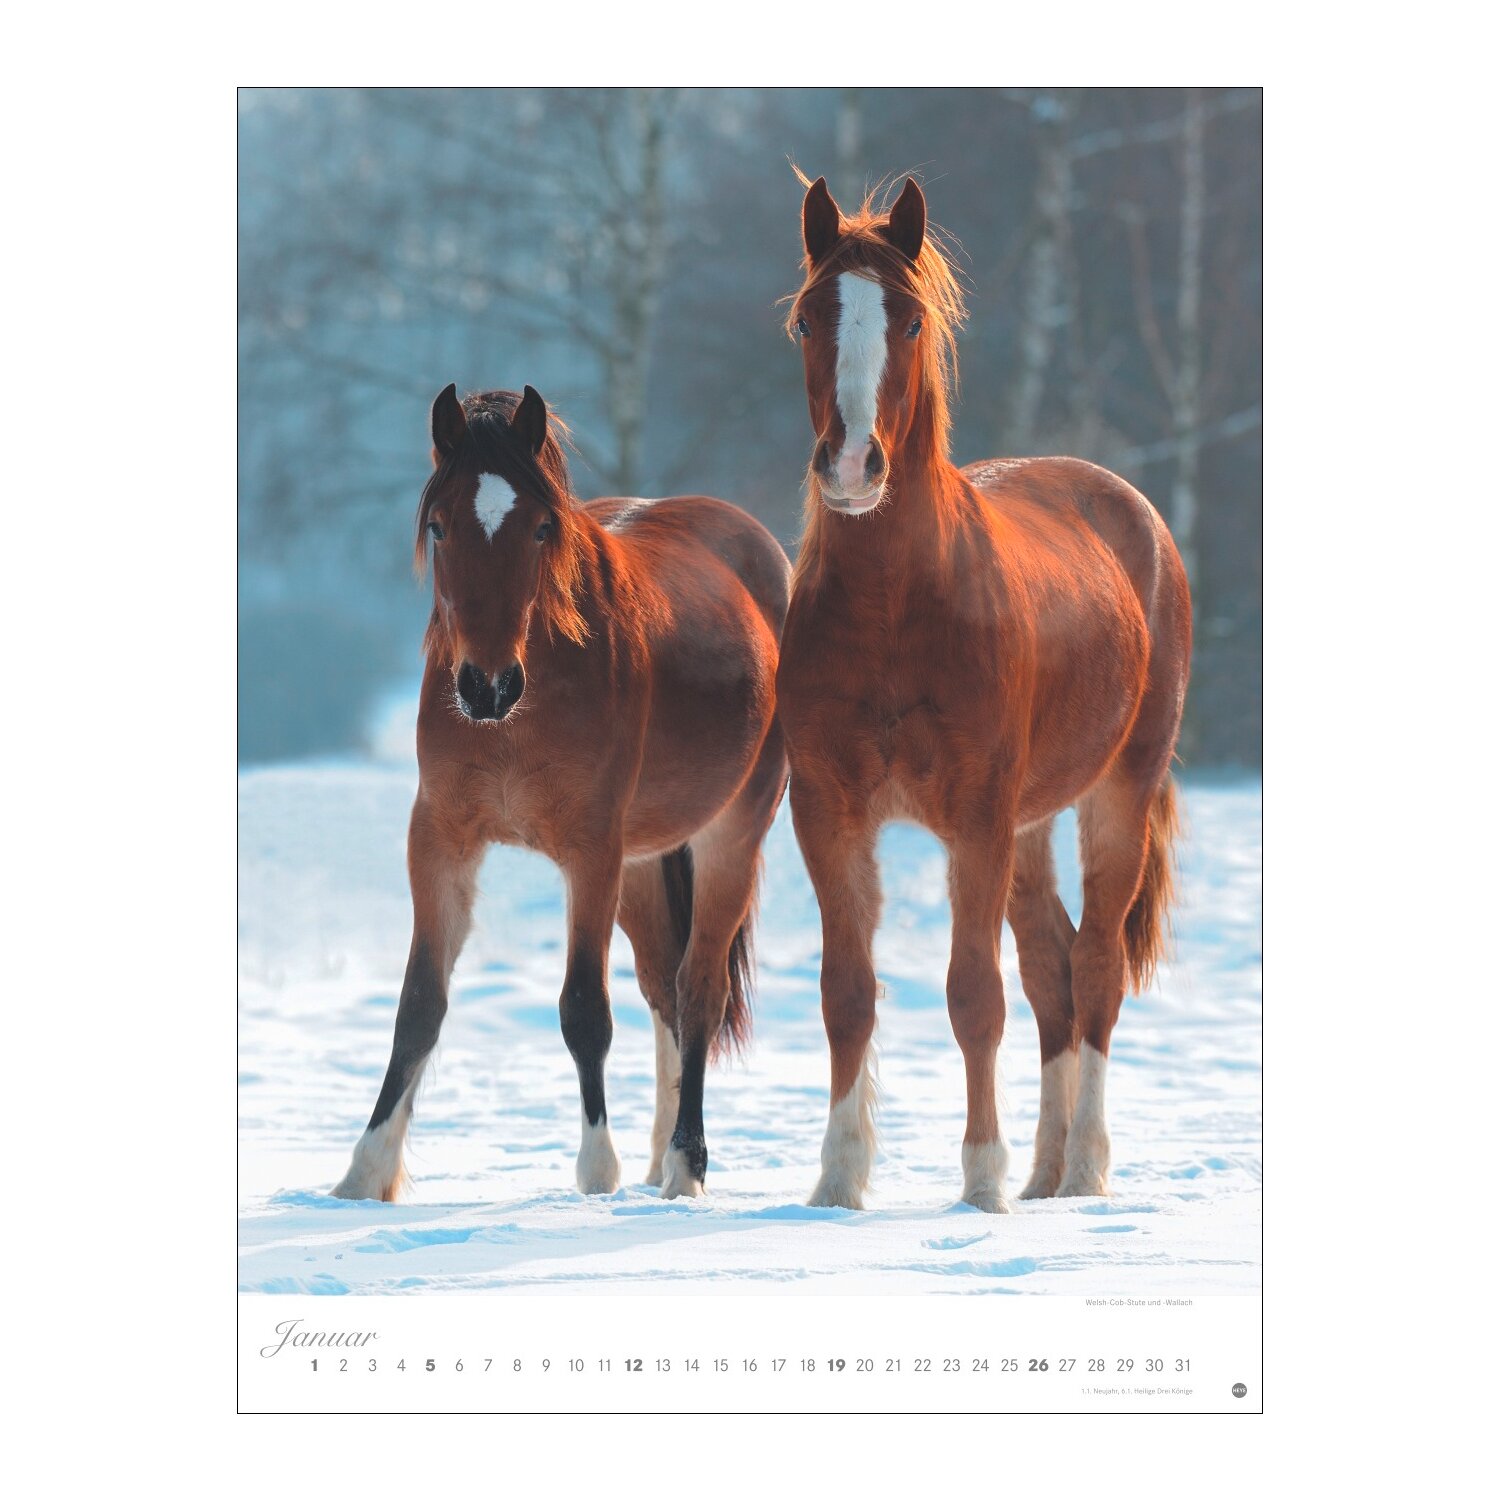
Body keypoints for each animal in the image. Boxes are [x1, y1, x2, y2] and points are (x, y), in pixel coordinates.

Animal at [333, 385, 790, 1203]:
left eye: (543, 527)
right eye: (439, 525)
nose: (484, 686)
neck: (522, 711)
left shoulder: (591, 854)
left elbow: (584, 1010)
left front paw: (596, 1169)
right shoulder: (440, 842)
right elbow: (419, 1005)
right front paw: (365, 1171)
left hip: (728, 836)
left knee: (698, 990)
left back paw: (686, 1166)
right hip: (642, 866)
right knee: (665, 989)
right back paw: (660, 1156)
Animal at [777, 176, 1192, 1212]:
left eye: (911, 319)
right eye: (806, 318)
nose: (853, 466)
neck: (898, 603)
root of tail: (1137, 515)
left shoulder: (976, 817)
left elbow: (973, 997)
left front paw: (980, 1180)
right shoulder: (829, 810)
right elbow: (848, 993)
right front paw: (838, 1180)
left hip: (1113, 794)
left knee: (1095, 968)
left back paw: (1080, 1169)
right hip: (1033, 823)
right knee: (1053, 969)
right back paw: (1046, 1176)